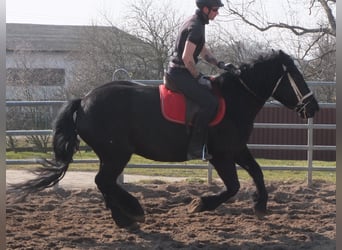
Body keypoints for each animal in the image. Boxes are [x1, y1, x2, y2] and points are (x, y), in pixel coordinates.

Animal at [11, 49, 320, 229]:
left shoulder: (237, 149)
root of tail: (84, 100)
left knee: (105, 183)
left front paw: (260, 206)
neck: (234, 98)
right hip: (116, 154)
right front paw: (200, 204)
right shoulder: (221, 155)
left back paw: (124, 215)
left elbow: (257, 173)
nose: (314, 107)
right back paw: (130, 214)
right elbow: (232, 187)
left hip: (111, 155)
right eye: (296, 75)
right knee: (103, 181)